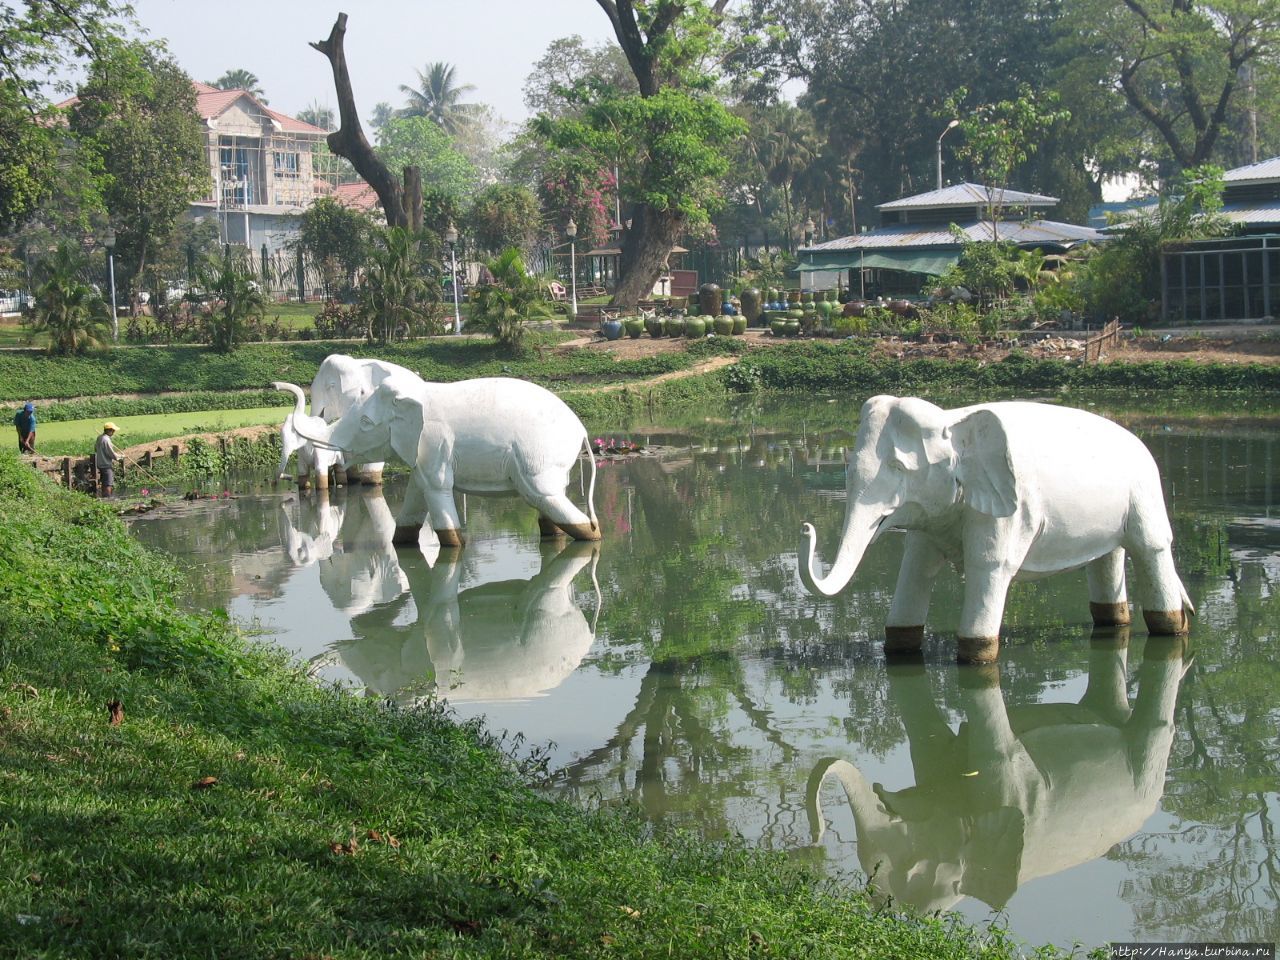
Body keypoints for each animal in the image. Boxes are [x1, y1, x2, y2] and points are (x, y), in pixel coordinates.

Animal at [275, 371, 599, 545]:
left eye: (366, 422)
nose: (274, 385)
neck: (416, 393)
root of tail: (582, 430)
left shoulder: (434, 442)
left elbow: (438, 490)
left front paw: (455, 547)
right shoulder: (422, 456)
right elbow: (414, 496)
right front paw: (400, 544)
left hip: (538, 460)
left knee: (547, 499)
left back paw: (592, 537)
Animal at [793, 396, 1192, 660]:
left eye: (898, 467)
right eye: (847, 465)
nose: (805, 527)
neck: (954, 422)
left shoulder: (1009, 508)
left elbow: (989, 567)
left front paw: (975, 655)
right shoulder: (930, 519)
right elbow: (915, 569)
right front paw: (900, 647)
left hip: (1145, 494)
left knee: (1152, 548)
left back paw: (1171, 629)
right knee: (1108, 559)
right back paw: (1115, 624)